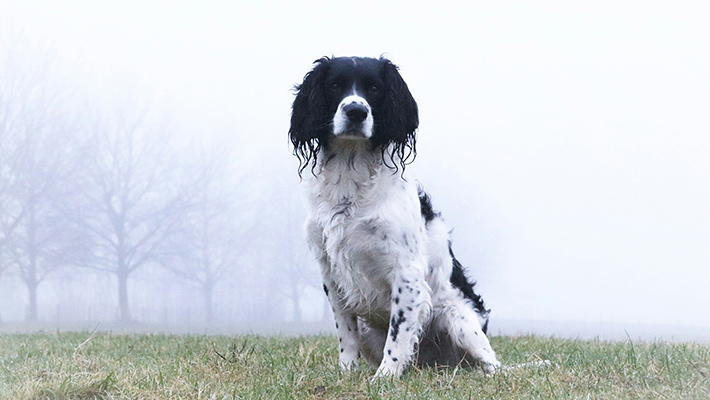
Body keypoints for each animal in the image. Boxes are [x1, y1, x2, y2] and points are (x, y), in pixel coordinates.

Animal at [290, 56, 500, 378]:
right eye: (335, 85)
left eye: (374, 88)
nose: (356, 111)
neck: (351, 180)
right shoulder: (330, 273)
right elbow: (345, 335)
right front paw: (347, 372)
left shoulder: (408, 274)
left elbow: (399, 333)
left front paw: (385, 376)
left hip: (460, 321)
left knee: (494, 365)